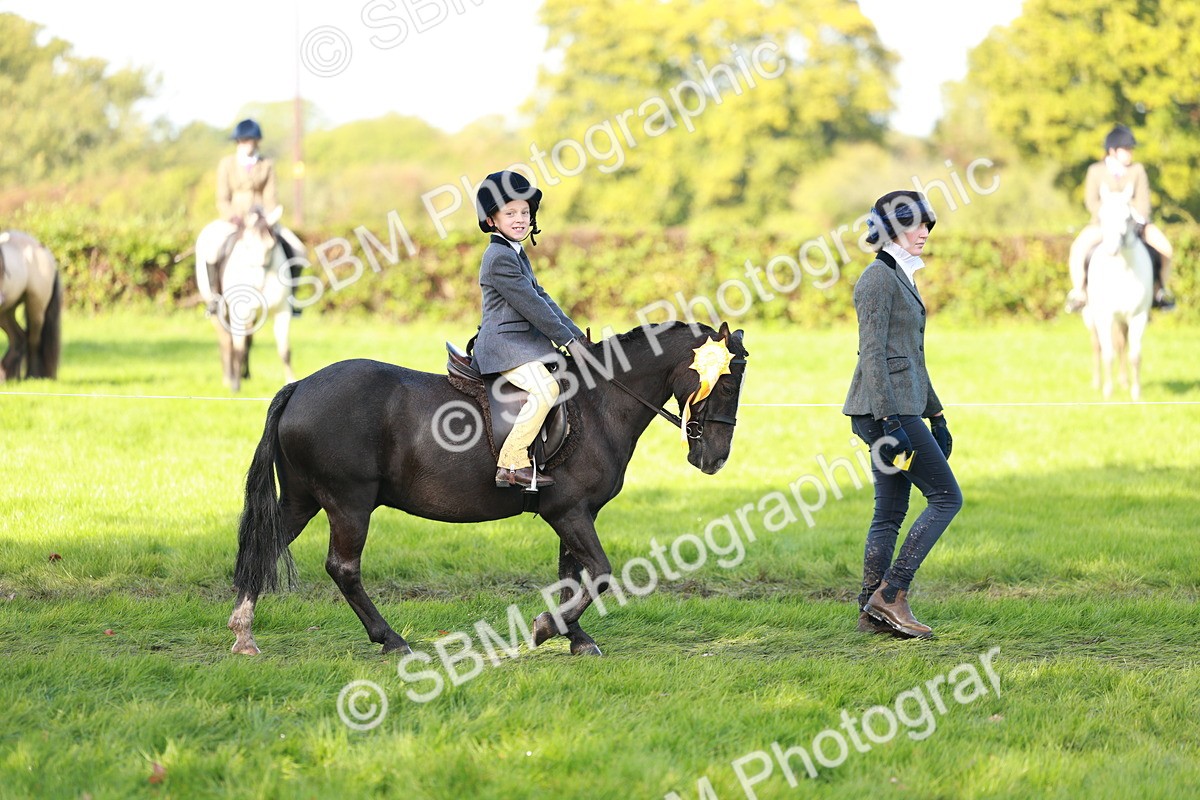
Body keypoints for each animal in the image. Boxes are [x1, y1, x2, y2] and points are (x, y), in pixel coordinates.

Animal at [0, 230, 62, 381]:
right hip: (6, 311)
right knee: (18, 338)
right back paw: (8, 375)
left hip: (36, 308)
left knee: (33, 340)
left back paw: (32, 375)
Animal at [195, 206, 296, 391]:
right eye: (248, 245)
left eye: (272, 246)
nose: (259, 282)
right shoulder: (239, 313)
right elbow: (238, 347)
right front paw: (235, 385)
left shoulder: (282, 311)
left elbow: (284, 350)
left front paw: (291, 379)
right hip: (218, 310)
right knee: (227, 340)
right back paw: (229, 378)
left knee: (247, 340)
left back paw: (245, 375)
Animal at [227, 320, 749, 657]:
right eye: (726, 384)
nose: (715, 458)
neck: (600, 402)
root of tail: (300, 386)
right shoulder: (571, 511)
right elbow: (599, 573)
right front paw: (546, 629)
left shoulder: (573, 513)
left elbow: (571, 575)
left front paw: (575, 637)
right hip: (348, 503)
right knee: (344, 568)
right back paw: (391, 640)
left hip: (303, 499)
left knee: (265, 546)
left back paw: (244, 633)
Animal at [1082, 184, 1153, 400]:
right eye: (1102, 216)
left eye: (1127, 217)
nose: (1112, 248)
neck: (1122, 270)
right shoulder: (1104, 317)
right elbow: (1108, 353)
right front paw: (1107, 391)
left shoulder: (1138, 316)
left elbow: (1135, 355)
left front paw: (1136, 393)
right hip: (1092, 315)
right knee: (1097, 345)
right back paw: (1098, 383)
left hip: (1122, 319)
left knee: (1121, 344)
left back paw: (1123, 381)